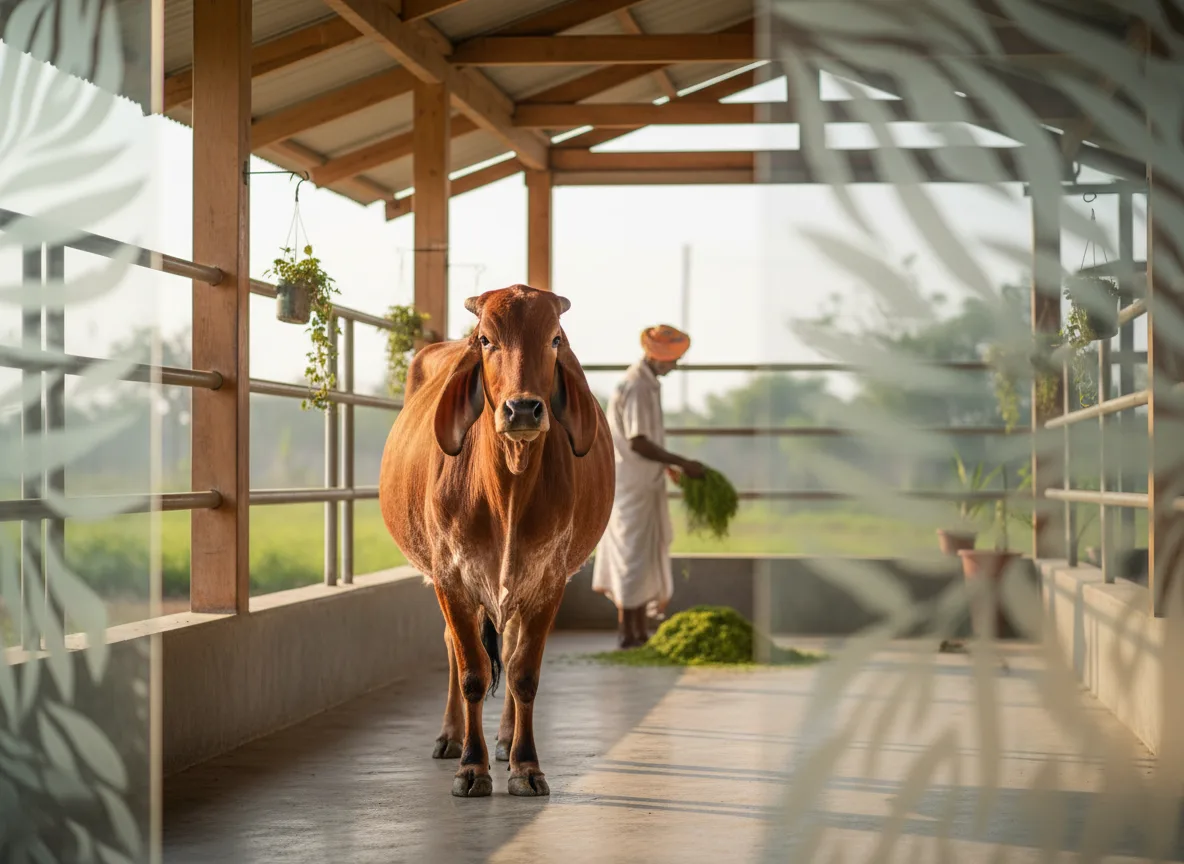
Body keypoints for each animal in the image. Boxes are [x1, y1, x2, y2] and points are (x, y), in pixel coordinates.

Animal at [379, 284, 614, 798]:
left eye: (554, 339)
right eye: (486, 339)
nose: (522, 409)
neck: (505, 487)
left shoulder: (547, 580)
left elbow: (523, 673)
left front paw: (525, 766)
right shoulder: (451, 576)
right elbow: (472, 671)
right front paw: (471, 766)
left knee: (507, 650)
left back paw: (506, 739)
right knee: (454, 646)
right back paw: (450, 736)